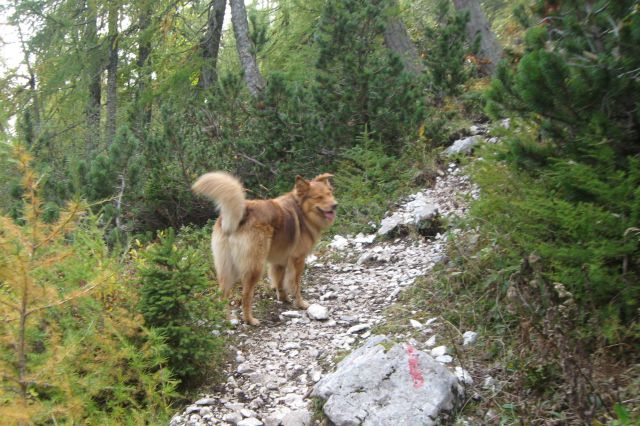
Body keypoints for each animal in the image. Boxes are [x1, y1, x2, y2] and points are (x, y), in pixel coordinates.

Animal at [191, 171, 338, 324]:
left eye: (329, 193)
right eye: (318, 197)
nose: (335, 205)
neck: (302, 210)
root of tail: (242, 214)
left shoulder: (279, 261)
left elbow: (279, 282)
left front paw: (284, 298)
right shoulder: (298, 260)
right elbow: (295, 284)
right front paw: (301, 304)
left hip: (226, 268)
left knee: (223, 295)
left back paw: (228, 319)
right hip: (255, 267)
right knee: (246, 295)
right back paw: (249, 320)